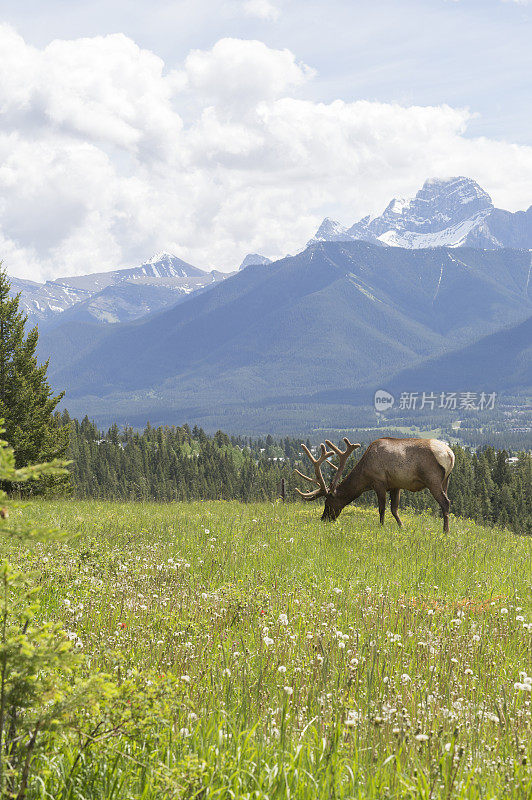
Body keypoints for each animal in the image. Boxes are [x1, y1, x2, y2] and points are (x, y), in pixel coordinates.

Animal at [296, 438, 454, 532]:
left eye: (328, 503)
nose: (324, 519)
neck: (364, 477)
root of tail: (450, 454)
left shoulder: (379, 482)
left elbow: (382, 509)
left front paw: (381, 527)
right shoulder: (396, 485)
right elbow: (394, 509)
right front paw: (402, 527)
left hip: (432, 479)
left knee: (445, 502)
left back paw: (445, 531)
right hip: (446, 480)